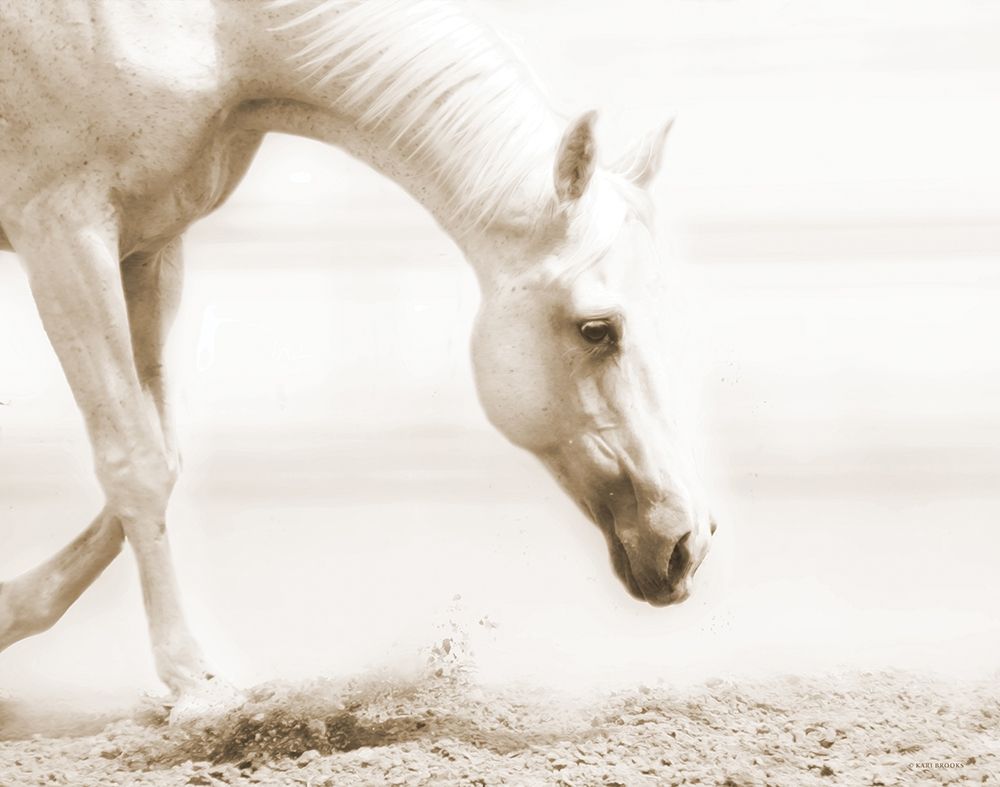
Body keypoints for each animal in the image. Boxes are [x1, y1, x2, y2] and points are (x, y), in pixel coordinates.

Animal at [0, 0, 715, 718]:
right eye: (597, 329)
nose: (688, 543)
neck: (219, 32)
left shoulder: (148, 247)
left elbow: (161, 456)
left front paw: (9, 610)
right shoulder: (63, 230)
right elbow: (134, 463)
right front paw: (196, 684)